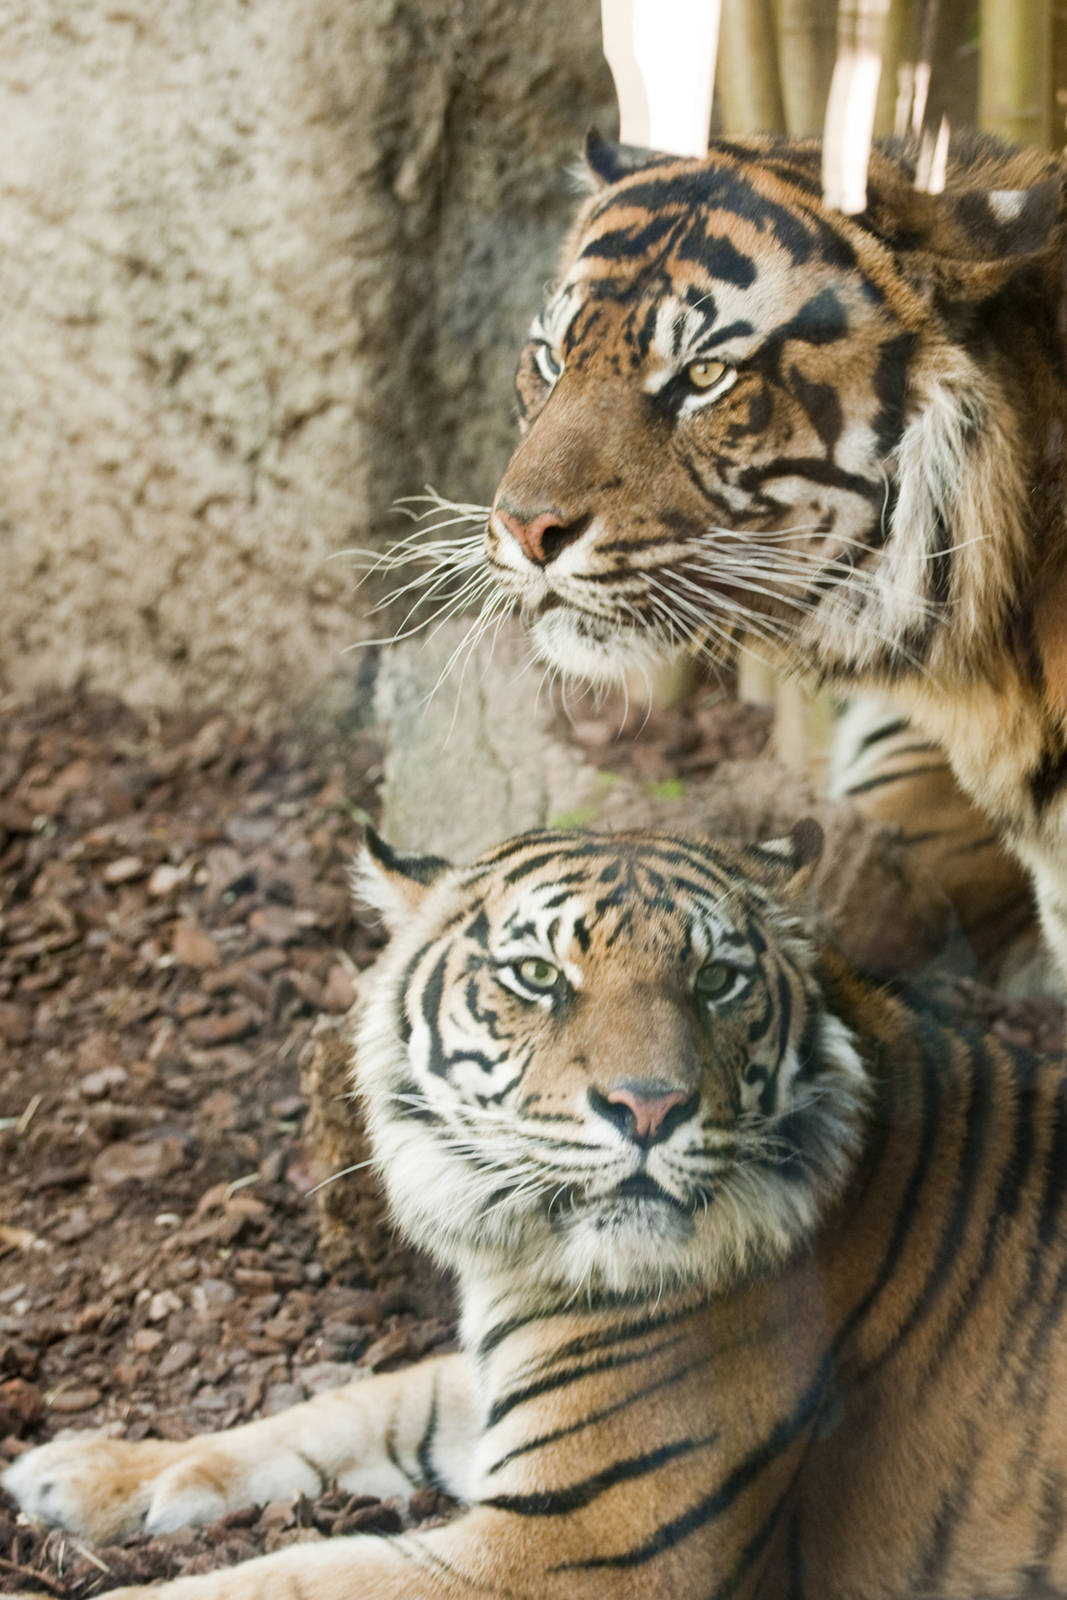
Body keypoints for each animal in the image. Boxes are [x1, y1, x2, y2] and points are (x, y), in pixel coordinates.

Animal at [8, 821, 1067, 1599]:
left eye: (715, 980)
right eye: (538, 977)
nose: (649, 1107)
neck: (534, 1261)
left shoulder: (579, 1545)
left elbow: (285, 1578)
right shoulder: (498, 1389)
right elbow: (340, 1408)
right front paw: (89, 1471)